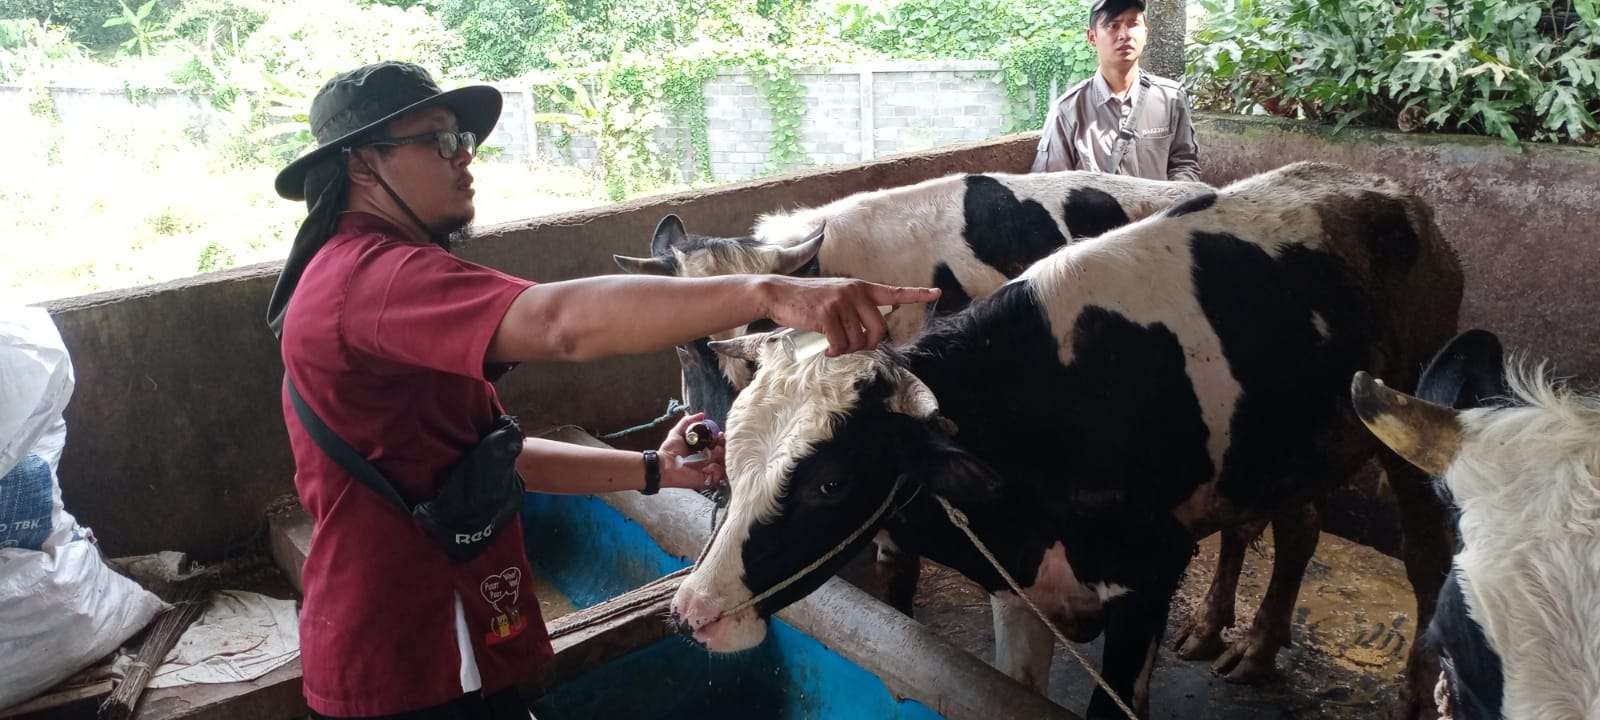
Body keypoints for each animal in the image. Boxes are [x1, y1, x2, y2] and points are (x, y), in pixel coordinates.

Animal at [668, 163, 1465, 720]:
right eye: (735, 458)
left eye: (830, 481)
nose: (693, 609)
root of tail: (1394, 191)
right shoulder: (1016, 584)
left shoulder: (1150, 573)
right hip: (1280, 450)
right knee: (1287, 526)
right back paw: (1235, 637)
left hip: (1400, 422)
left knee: (1422, 556)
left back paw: (1410, 693)